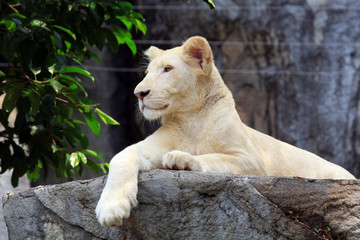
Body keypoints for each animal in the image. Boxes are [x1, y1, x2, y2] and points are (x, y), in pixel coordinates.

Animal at [94, 36, 356, 227]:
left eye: (167, 69)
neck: (191, 118)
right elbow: (120, 157)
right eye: (147, 73)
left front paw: (181, 159)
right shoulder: (148, 148)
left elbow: (213, 158)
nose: (139, 93)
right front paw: (110, 210)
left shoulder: (251, 160)